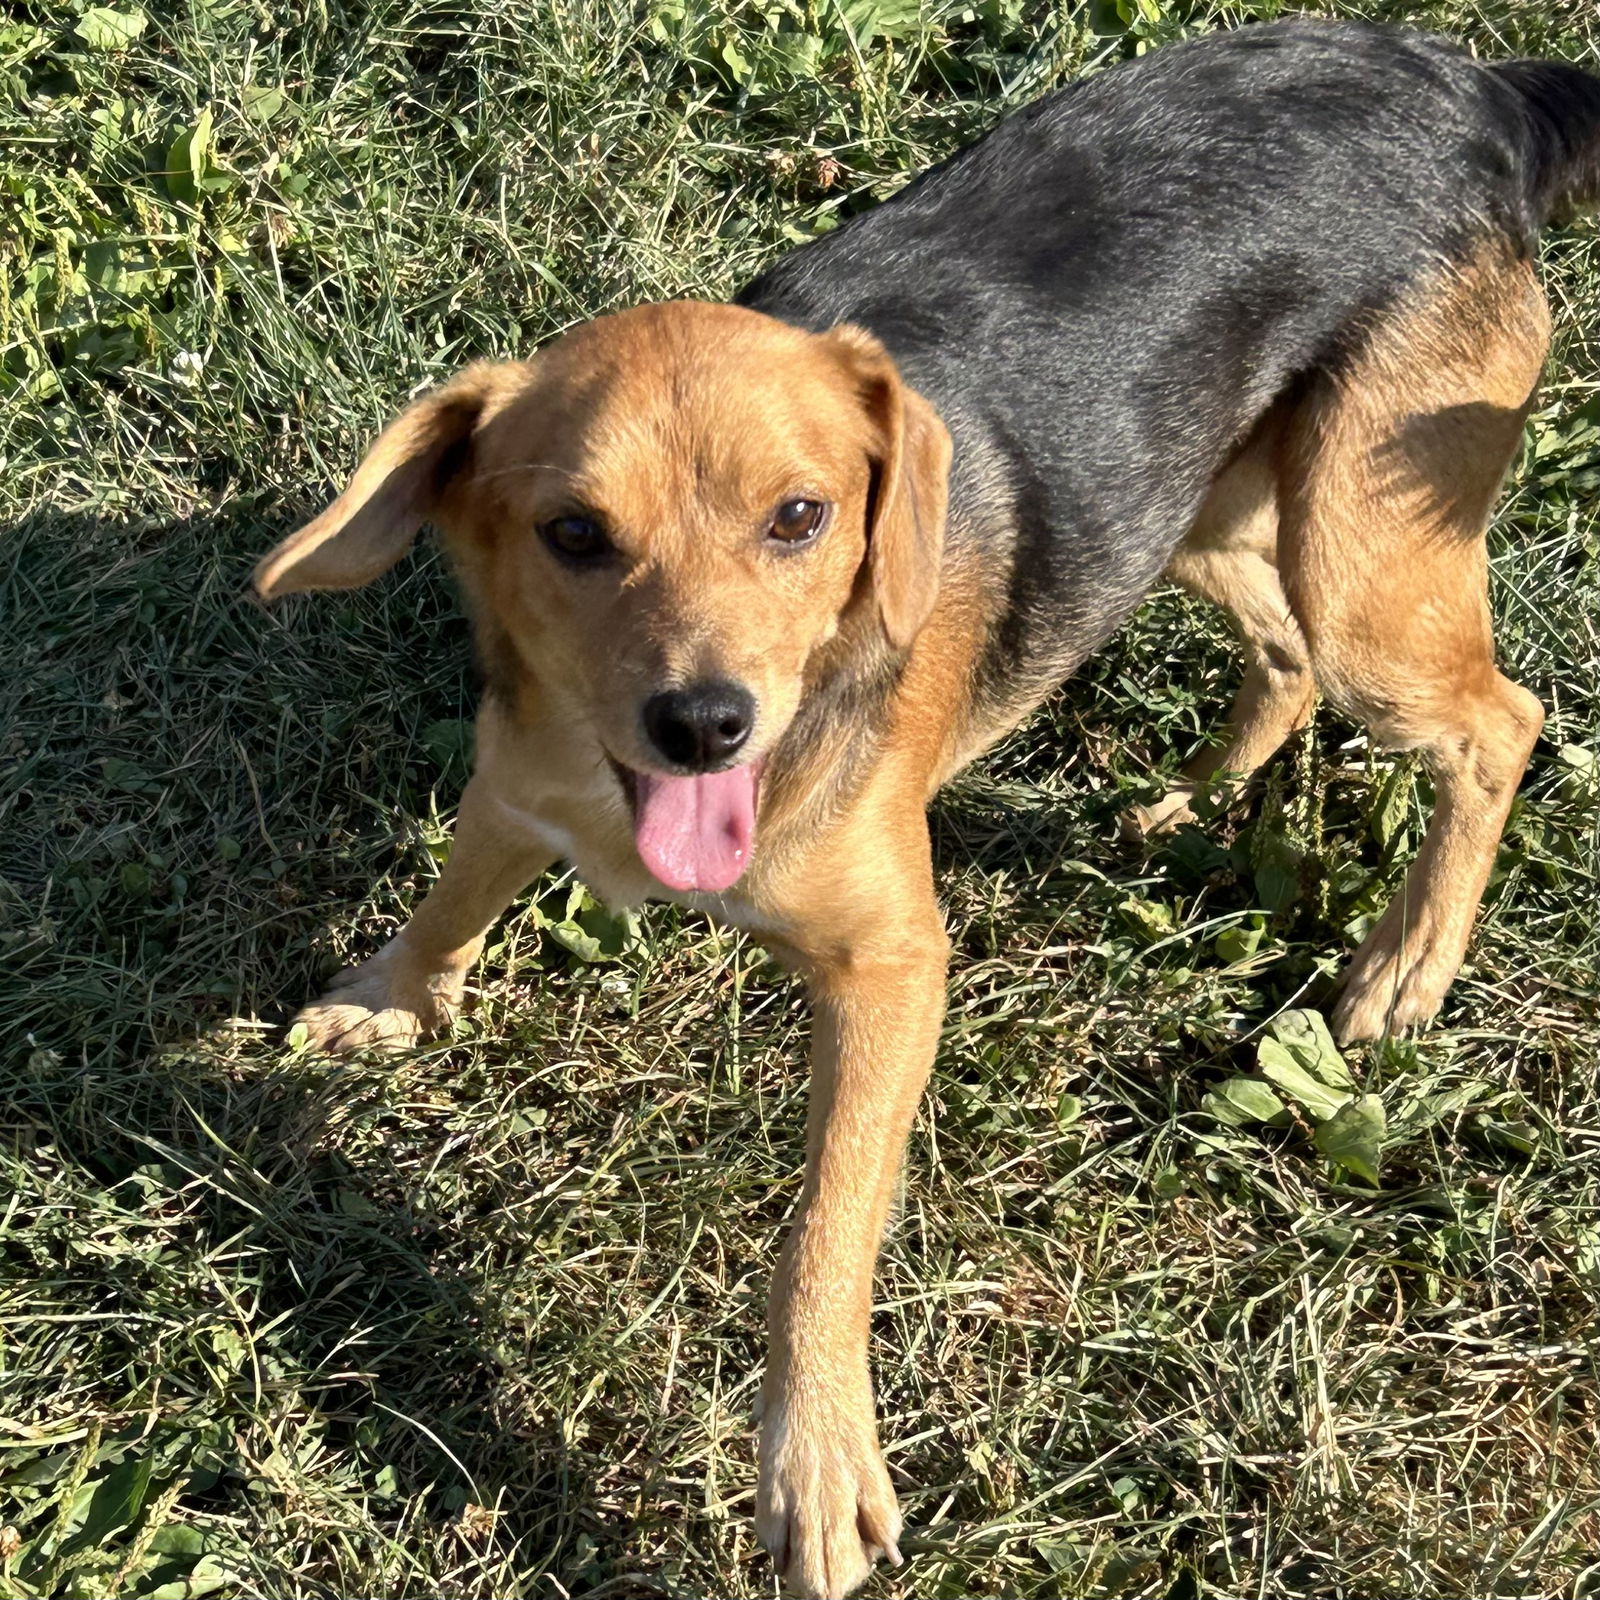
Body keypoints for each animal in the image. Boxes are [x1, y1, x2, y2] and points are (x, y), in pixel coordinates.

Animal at [249, 18, 1600, 1593]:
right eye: (573, 534)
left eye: (801, 517)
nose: (705, 724)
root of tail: (1468, 80)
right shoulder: (521, 789)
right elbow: (450, 900)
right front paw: (391, 998)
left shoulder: (892, 969)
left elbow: (824, 1229)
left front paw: (819, 1464)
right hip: (1192, 510)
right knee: (1279, 651)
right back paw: (1189, 799)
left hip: (1367, 560)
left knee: (1496, 725)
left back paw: (1404, 965)